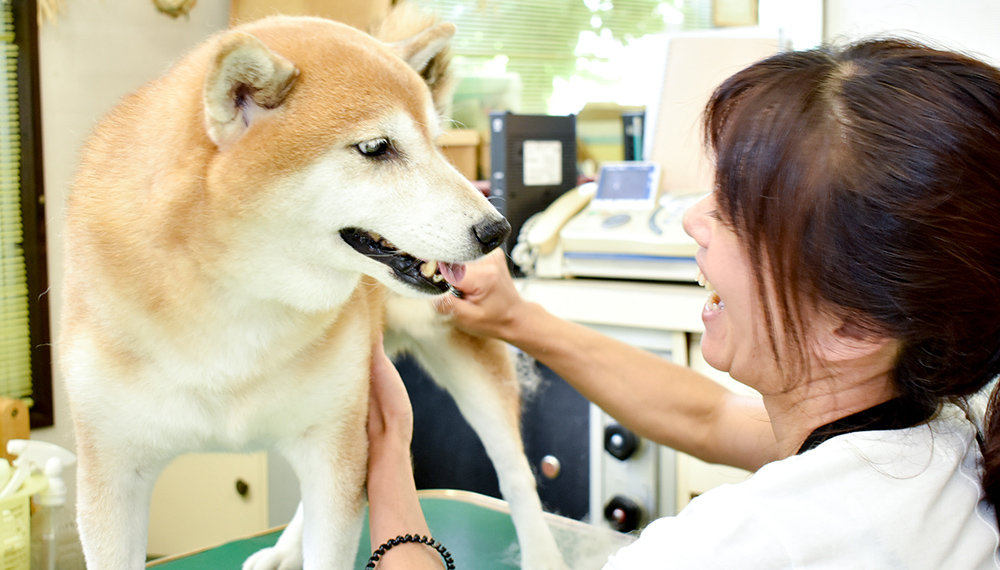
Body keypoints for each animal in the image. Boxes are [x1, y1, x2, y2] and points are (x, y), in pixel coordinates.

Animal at [58, 8, 568, 568]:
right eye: (375, 148)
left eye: (437, 146)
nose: (497, 231)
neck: (238, 301)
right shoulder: (112, 470)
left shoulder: (335, 439)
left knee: (516, 475)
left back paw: (543, 554)